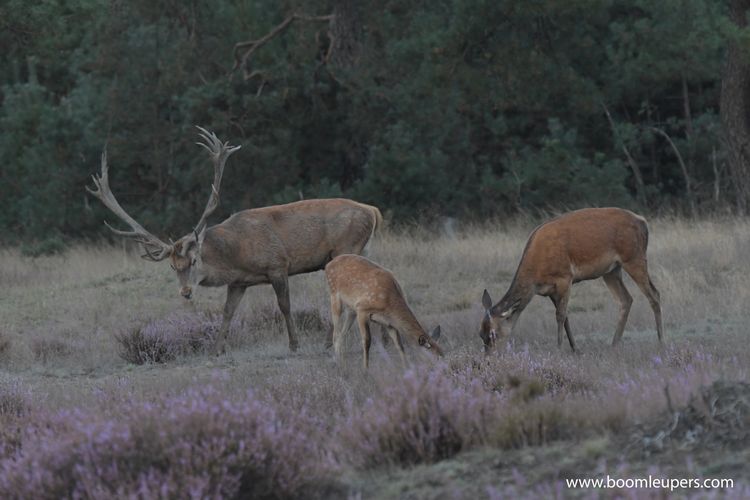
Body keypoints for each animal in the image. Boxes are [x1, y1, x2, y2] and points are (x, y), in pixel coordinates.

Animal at [87, 127, 382, 354]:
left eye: (194, 260)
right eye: (172, 266)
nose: (186, 292)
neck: (236, 256)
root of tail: (372, 210)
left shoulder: (277, 264)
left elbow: (284, 306)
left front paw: (294, 344)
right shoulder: (239, 283)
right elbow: (227, 311)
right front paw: (216, 349)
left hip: (346, 247)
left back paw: (330, 342)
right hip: (364, 249)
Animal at [480, 207, 663, 353]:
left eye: (493, 334)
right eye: (481, 334)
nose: (489, 358)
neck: (536, 276)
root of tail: (643, 222)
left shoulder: (565, 278)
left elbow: (560, 315)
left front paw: (559, 348)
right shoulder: (550, 290)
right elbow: (566, 316)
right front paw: (576, 349)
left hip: (634, 257)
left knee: (654, 294)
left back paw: (661, 341)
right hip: (611, 270)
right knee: (625, 299)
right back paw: (614, 344)